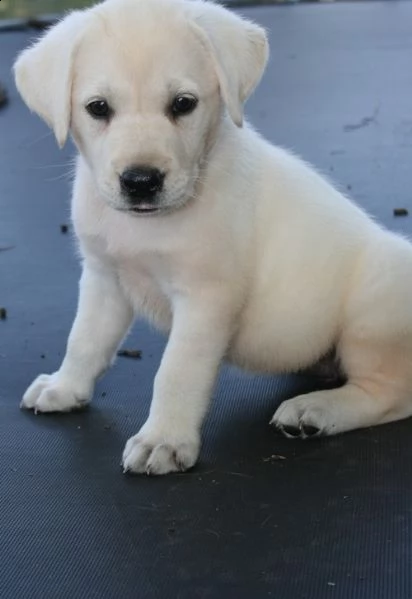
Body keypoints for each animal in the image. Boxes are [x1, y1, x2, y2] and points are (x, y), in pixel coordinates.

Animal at [12, 0, 412, 476]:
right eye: (98, 108)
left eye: (183, 104)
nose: (141, 182)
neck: (148, 225)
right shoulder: (104, 277)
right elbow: (85, 339)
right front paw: (66, 387)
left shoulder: (206, 300)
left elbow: (176, 372)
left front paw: (163, 440)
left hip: (373, 311)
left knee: (391, 393)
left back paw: (316, 410)